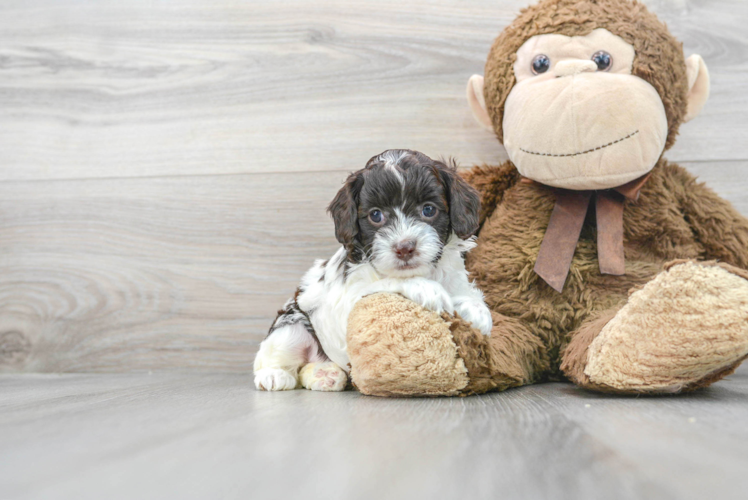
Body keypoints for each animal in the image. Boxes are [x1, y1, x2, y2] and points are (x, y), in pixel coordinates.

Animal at [254, 148, 494, 390]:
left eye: (428, 210)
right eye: (376, 215)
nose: (404, 248)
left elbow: (467, 292)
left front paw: (477, 310)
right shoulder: (348, 304)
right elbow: (386, 283)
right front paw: (425, 287)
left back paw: (326, 375)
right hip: (291, 326)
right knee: (273, 357)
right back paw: (274, 374)